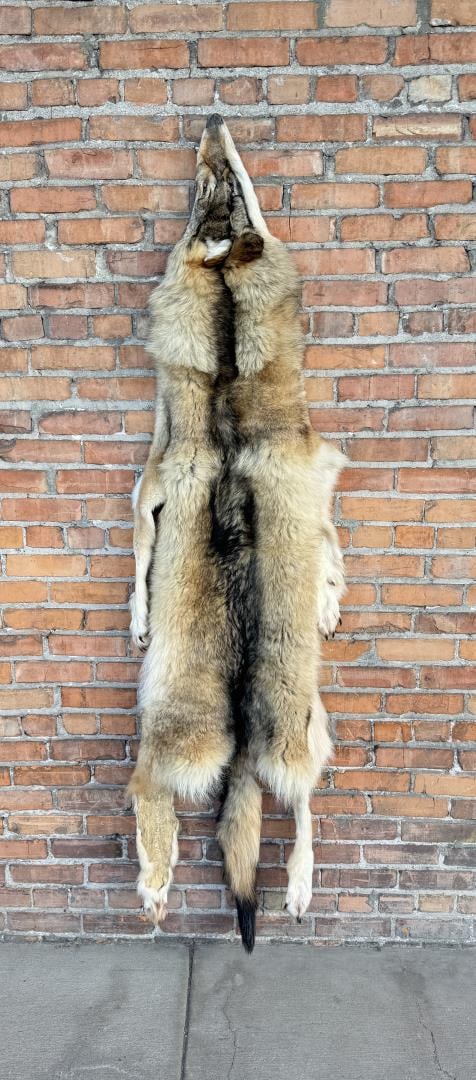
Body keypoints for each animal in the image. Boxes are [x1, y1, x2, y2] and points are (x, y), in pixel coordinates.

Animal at [129, 117, 345, 948]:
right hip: (267, 723)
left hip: (282, 721)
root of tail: (246, 737)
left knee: (286, 797)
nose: (214, 120)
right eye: (204, 196)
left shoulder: (172, 461)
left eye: (228, 192)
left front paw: (328, 598)